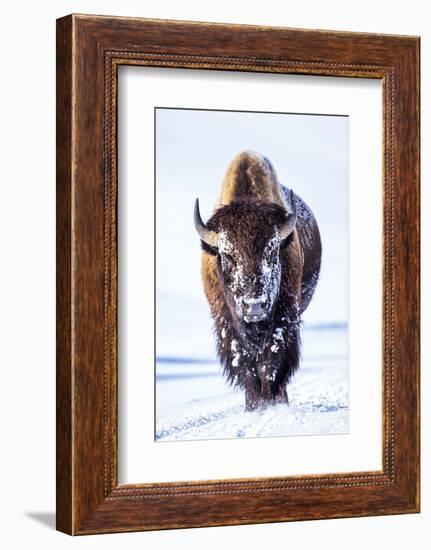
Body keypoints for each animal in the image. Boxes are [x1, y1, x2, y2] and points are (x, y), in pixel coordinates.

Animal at [194, 151, 322, 410]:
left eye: (272, 252)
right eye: (227, 255)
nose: (254, 306)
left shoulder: (284, 317)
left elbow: (270, 361)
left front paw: (271, 403)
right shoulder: (226, 323)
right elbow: (245, 364)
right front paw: (254, 406)